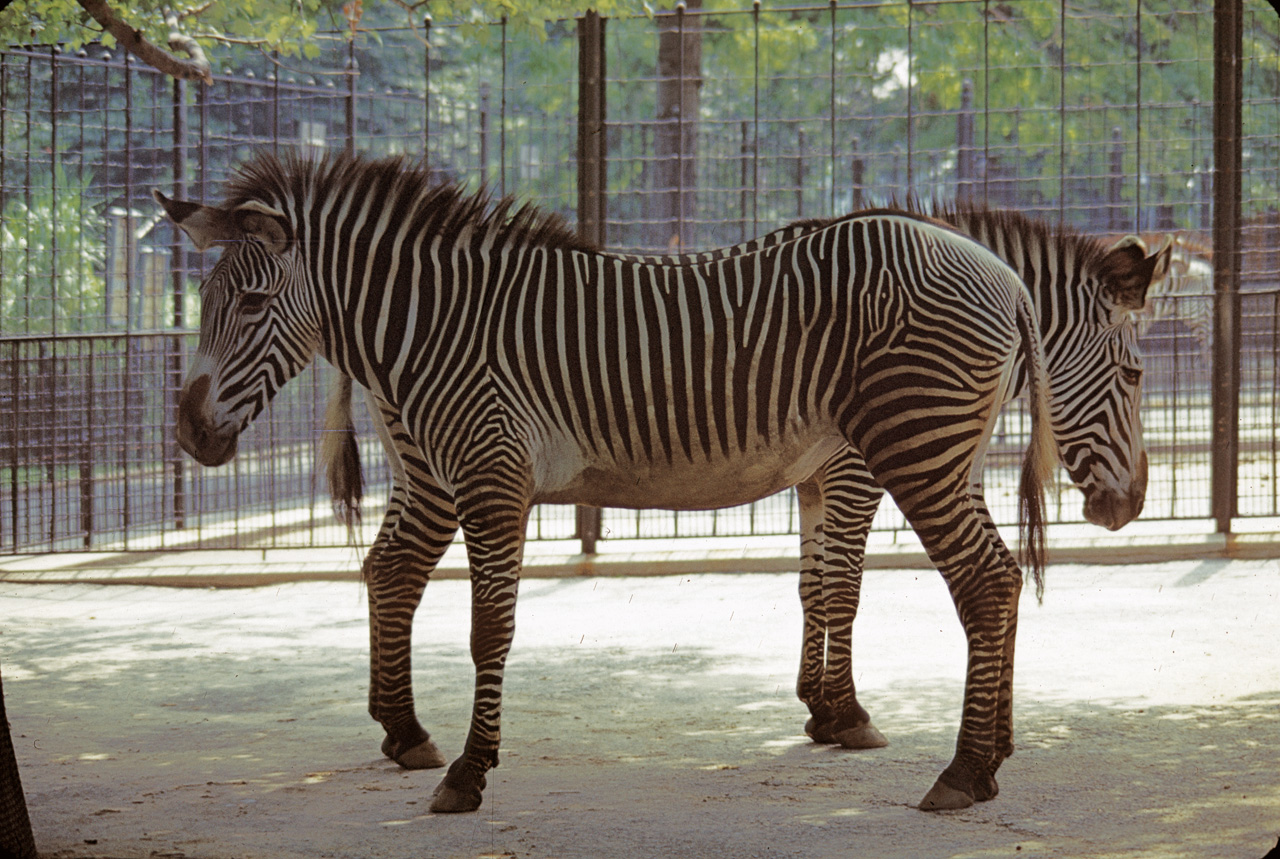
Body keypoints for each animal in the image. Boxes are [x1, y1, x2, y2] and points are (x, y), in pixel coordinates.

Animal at [160, 151, 1059, 814]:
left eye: (251, 301)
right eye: (204, 299)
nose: (190, 433)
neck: (435, 325)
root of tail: (1005, 276)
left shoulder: (492, 473)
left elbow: (491, 631)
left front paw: (470, 773)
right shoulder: (470, 472)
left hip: (917, 442)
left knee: (986, 581)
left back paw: (966, 770)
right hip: (942, 450)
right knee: (391, 570)